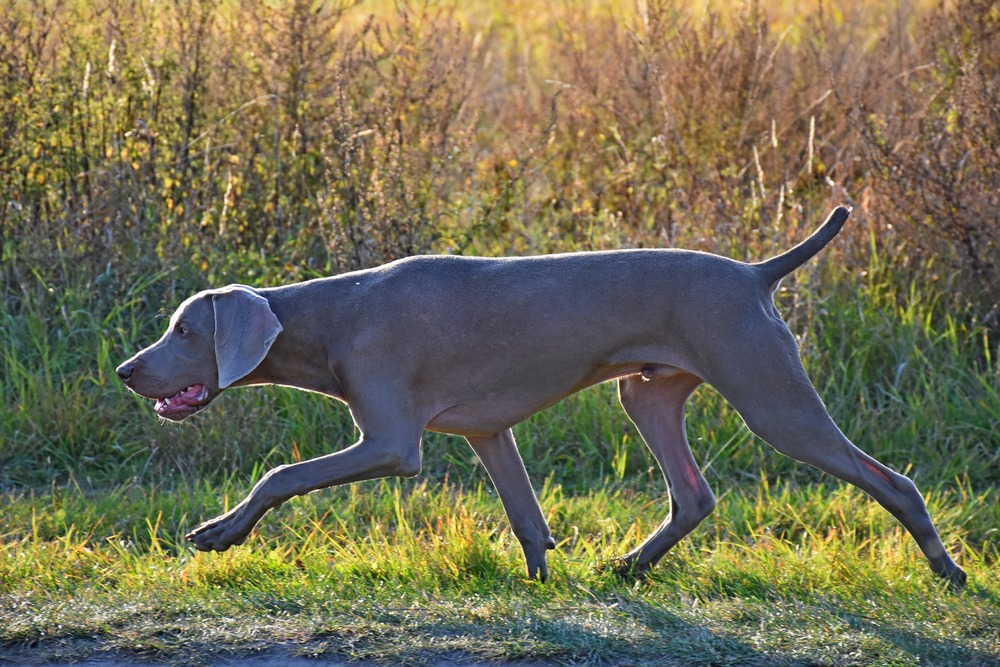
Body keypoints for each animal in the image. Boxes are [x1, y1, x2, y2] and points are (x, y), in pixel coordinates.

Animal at [119, 209, 968, 588]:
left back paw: (946, 569)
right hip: (645, 394)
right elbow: (526, 515)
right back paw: (630, 565)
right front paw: (539, 581)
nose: (127, 370)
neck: (335, 314)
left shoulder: (392, 443)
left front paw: (218, 533)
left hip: (771, 397)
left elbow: (280, 474)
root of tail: (757, 272)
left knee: (894, 480)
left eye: (184, 328)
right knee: (693, 494)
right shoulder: (488, 433)